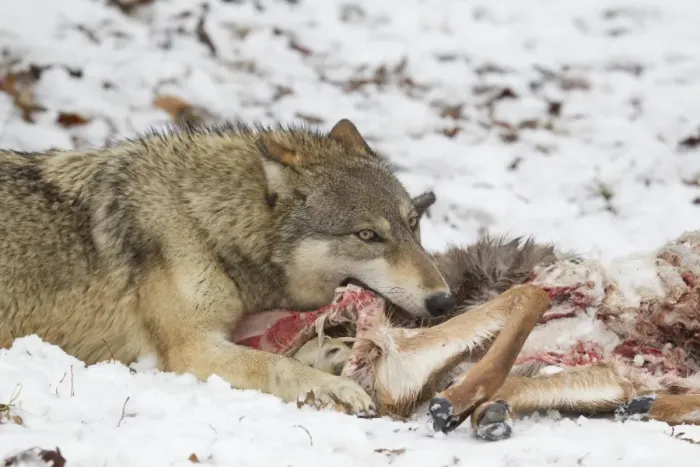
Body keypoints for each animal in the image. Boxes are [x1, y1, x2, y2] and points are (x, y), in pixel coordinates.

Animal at [0, 118, 457, 414]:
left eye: (413, 225)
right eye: (367, 235)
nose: (443, 302)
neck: (203, 222)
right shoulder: (191, 348)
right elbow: (276, 365)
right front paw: (333, 388)